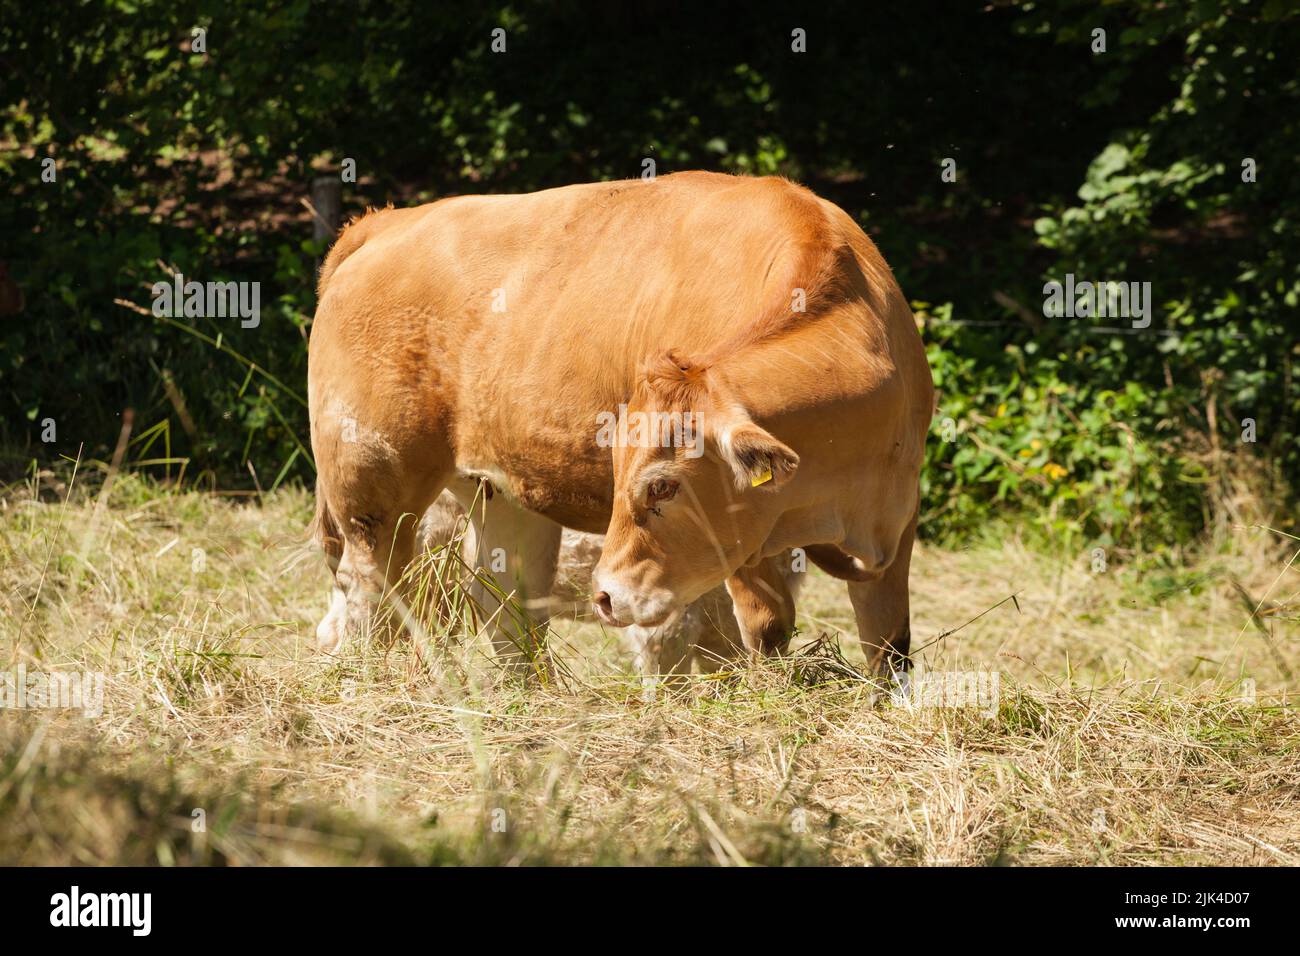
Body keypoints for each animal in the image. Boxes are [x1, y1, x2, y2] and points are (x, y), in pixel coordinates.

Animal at [308, 175, 930, 676]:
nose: (605, 595)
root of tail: (388, 223)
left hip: (500, 495)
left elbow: (889, 648)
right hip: (372, 487)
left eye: (663, 484)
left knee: (505, 610)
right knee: (371, 599)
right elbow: (762, 631)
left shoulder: (895, 525)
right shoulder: (744, 552)